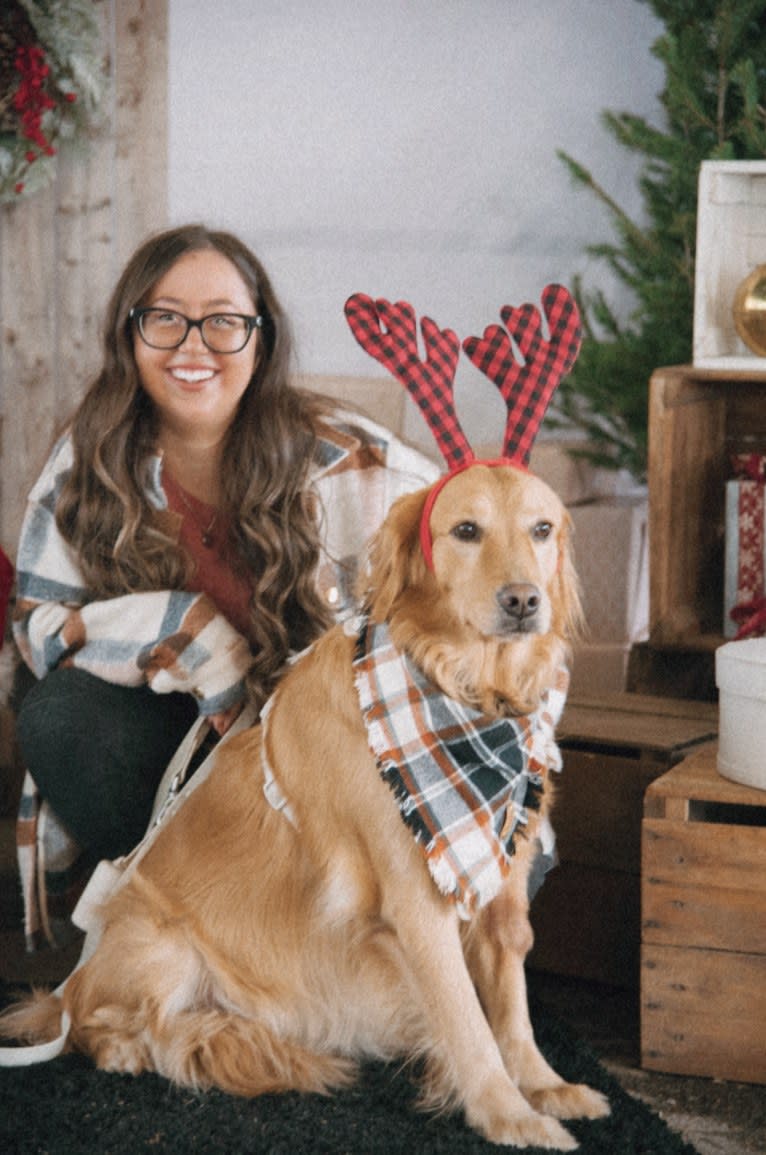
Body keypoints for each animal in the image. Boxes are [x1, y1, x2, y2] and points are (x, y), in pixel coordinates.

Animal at [1, 464, 610, 1150]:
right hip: (161, 944)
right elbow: (468, 1020)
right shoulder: (416, 899)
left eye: (542, 529)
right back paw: (139, 1047)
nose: (523, 600)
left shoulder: (501, 878)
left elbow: (511, 1006)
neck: (466, 692)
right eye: (466, 531)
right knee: (96, 1023)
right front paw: (507, 1112)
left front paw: (543, 1085)